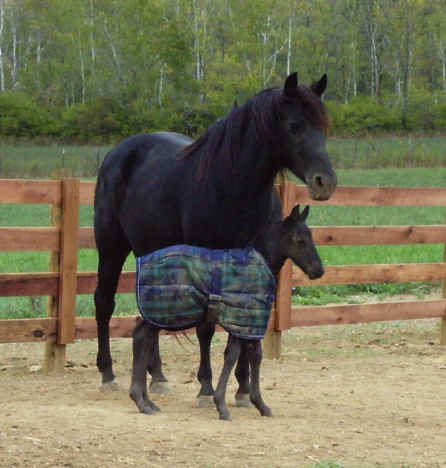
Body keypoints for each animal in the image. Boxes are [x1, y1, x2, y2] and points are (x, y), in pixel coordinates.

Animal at [94, 72, 337, 393]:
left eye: (323, 127)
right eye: (295, 126)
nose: (325, 182)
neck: (231, 186)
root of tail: (115, 154)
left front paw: (243, 388)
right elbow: (206, 327)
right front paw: (207, 387)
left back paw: (156, 375)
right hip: (111, 246)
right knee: (104, 301)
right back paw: (108, 374)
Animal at [129, 205, 323, 420]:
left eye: (311, 236)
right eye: (300, 240)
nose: (318, 270)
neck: (258, 264)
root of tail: (143, 261)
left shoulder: (250, 321)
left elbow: (254, 355)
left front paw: (260, 405)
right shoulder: (239, 318)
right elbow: (233, 355)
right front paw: (221, 405)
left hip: (159, 315)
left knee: (142, 337)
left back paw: (146, 401)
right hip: (163, 312)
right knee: (141, 337)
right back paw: (141, 400)